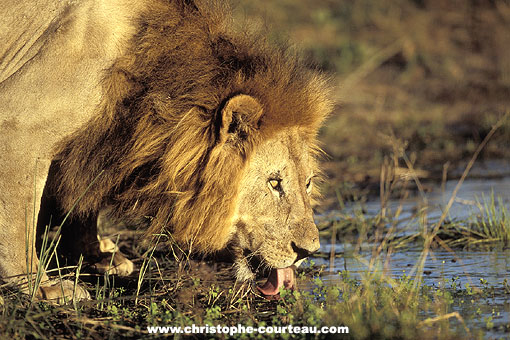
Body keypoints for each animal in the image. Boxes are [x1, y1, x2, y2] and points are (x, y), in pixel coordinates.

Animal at [0, 0, 332, 302]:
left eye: (307, 183)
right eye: (274, 183)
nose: (308, 251)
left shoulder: (94, 149)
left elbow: (82, 202)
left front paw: (97, 255)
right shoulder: (18, 126)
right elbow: (19, 225)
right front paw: (40, 286)